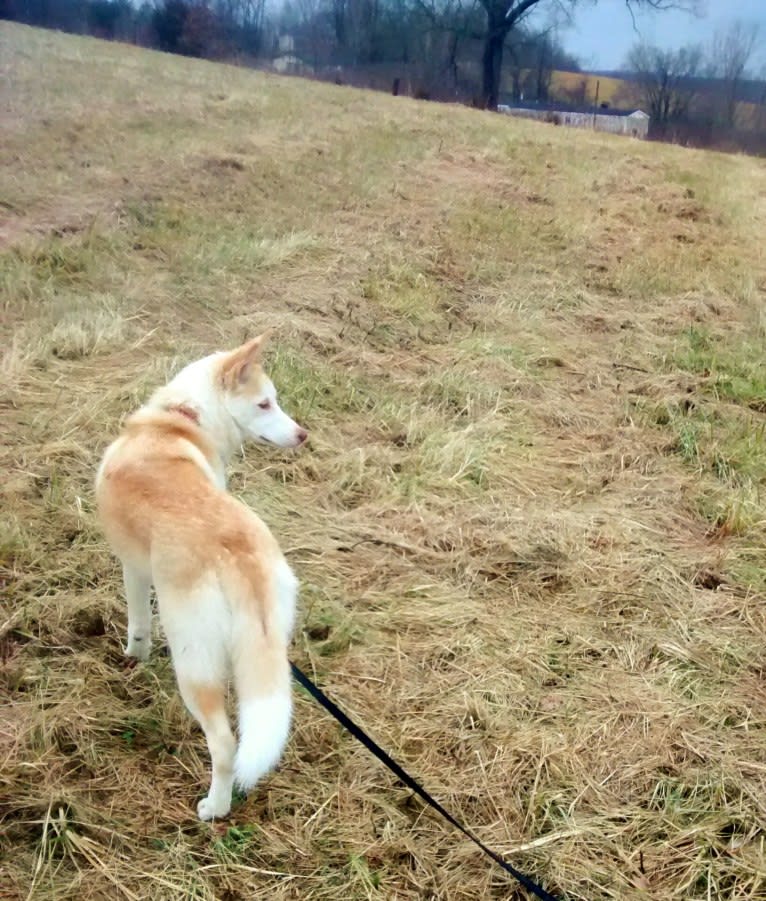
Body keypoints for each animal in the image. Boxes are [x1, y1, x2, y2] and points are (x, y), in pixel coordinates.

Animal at [97, 334, 308, 820]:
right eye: (266, 403)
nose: (303, 435)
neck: (179, 420)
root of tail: (237, 553)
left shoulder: (134, 568)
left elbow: (137, 625)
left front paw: (133, 658)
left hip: (193, 661)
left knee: (225, 744)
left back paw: (215, 807)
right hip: (267, 644)